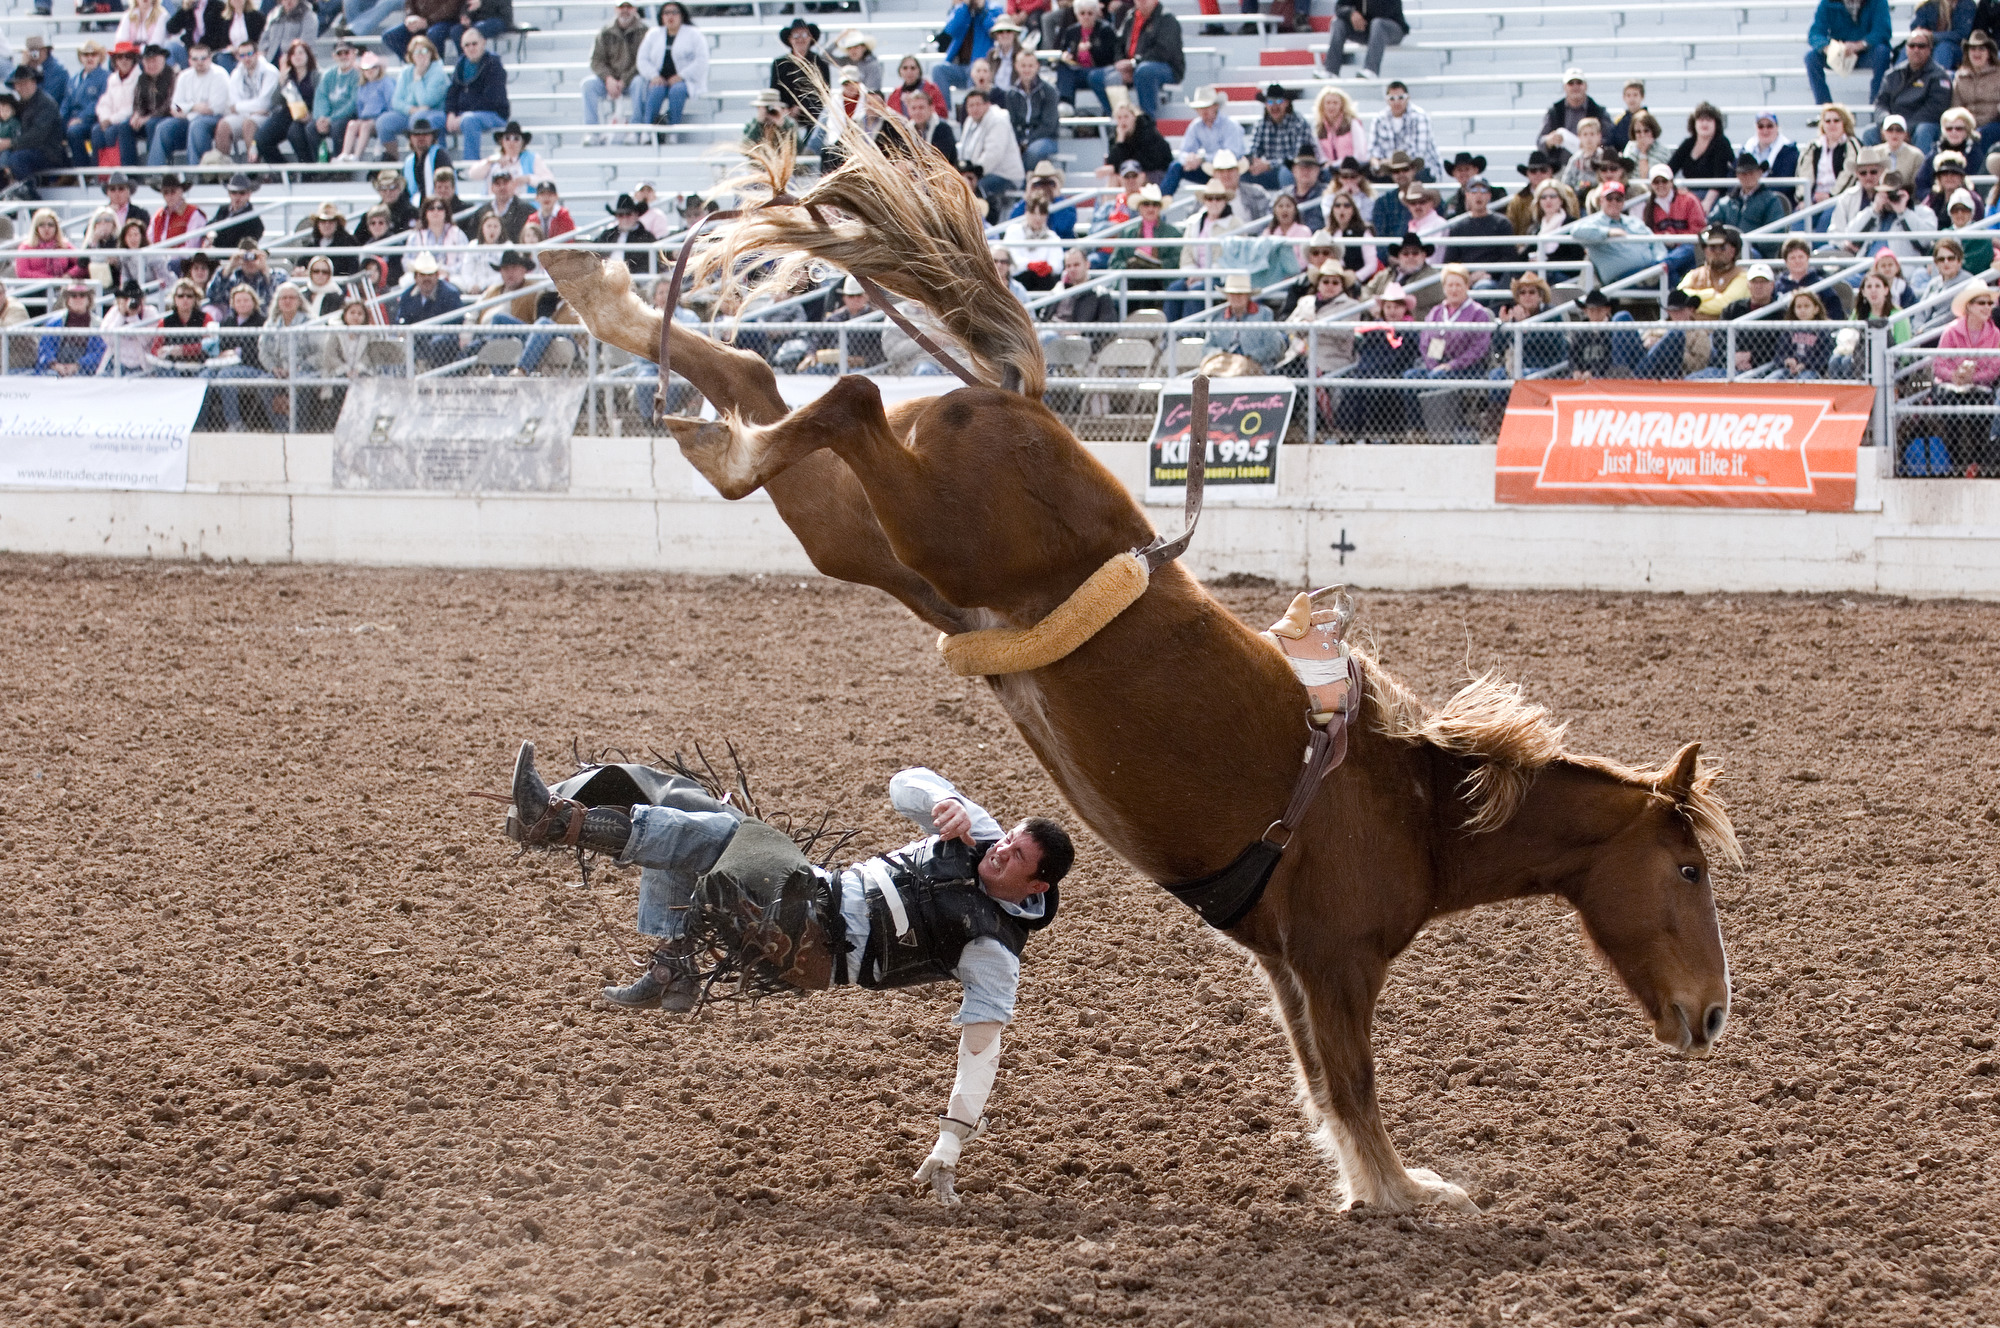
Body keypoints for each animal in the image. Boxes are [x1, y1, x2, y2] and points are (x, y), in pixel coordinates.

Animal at [540, 135, 1744, 1216]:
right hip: (926, 523)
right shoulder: (1338, 961)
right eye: (1687, 869)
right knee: (840, 397)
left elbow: (1322, 1080)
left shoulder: (1288, 965)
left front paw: (1372, 1185)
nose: (1714, 1016)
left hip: (870, 537)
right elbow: (1353, 1082)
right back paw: (709, 424)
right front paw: (1405, 1189)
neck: (1410, 805)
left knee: (768, 382)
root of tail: (1019, 398)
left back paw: (609, 304)